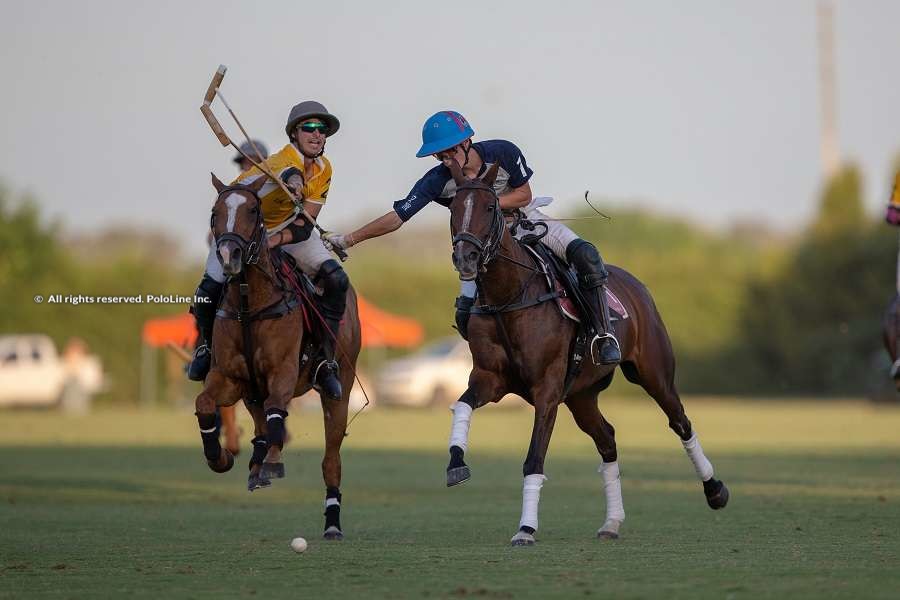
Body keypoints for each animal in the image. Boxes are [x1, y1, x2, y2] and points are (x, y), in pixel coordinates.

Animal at [197, 173, 362, 540]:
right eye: (214, 212)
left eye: (253, 210)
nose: (228, 256)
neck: (249, 303)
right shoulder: (229, 377)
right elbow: (204, 404)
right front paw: (219, 458)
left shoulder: (283, 372)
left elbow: (277, 414)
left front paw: (272, 463)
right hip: (251, 391)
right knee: (260, 423)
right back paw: (254, 464)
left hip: (340, 388)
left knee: (330, 459)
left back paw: (332, 522)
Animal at [444, 159, 732, 544]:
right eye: (453, 210)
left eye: (490, 207)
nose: (466, 257)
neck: (509, 297)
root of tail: (636, 284)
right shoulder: (490, 380)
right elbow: (462, 405)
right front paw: (456, 464)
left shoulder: (547, 390)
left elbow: (534, 459)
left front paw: (525, 529)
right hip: (581, 395)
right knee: (607, 438)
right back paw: (611, 523)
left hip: (654, 373)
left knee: (680, 422)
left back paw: (715, 491)